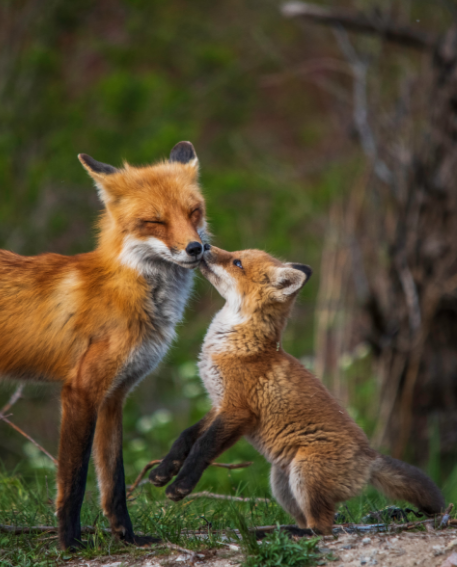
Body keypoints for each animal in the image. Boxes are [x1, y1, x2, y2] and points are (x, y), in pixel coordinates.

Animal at [0, 142, 208, 552]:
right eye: (155, 221)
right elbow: (75, 478)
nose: (196, 248)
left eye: (194, 212)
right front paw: (69, 542)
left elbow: (114, 480)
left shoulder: (115, 396)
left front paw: (127, 537)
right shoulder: (82, 390)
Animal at [151, 246, 444, 536]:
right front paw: (164, 470)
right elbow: (186, 436)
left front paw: (180, 486)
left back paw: (287, 534)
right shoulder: (219, 403)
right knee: (310, 520)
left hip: (304, 473)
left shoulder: (238, 411)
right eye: (236, 254)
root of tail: (369, 458)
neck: (236, 344)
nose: (204, 246)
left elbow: (202, 447)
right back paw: (273, 532)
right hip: (282, 481)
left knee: (323, 528)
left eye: (237, 262)